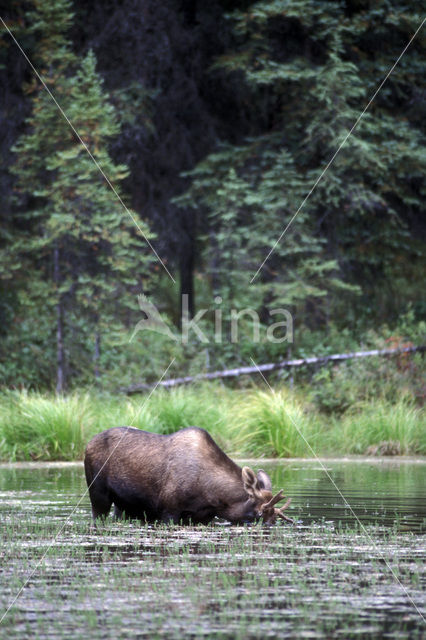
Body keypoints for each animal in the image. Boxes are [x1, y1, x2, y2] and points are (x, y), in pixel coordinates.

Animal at [83, 424, 292, 524]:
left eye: (275, 519)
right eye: (258, 514)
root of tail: (87, 444)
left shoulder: (203, 517)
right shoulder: (168, 511)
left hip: (123, 505)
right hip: (98, 494)